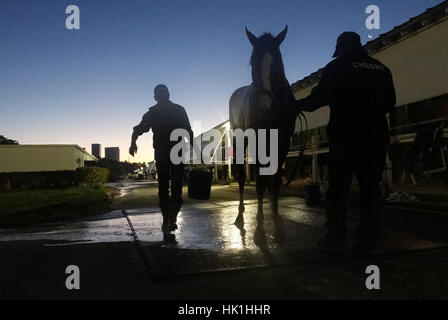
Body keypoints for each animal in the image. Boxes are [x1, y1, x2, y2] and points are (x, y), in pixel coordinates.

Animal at [231, 26, 298, 224]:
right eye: (252, 62)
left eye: (279, 60)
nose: (265, 107)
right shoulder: (257, 141)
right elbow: (260, 179)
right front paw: (260, 215)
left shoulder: (283, 142)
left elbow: (275, 177)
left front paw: (274, 210)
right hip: (239, 141)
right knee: (241, 176)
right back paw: (240, 211)